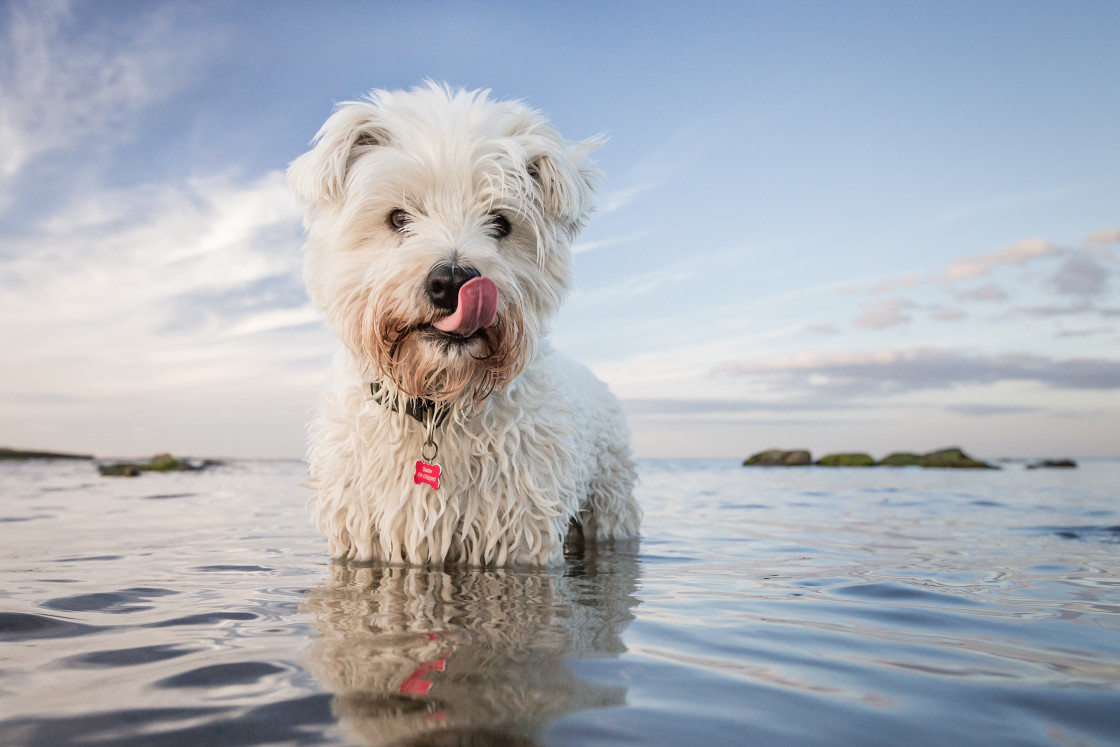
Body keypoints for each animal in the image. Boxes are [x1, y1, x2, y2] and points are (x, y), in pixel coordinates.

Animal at [286, 83, 640, 566]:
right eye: (398, 217)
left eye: (501, 223)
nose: (452, 281)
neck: (436, 403)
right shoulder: (365, 532)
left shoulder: (518, 532)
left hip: (610, 502)